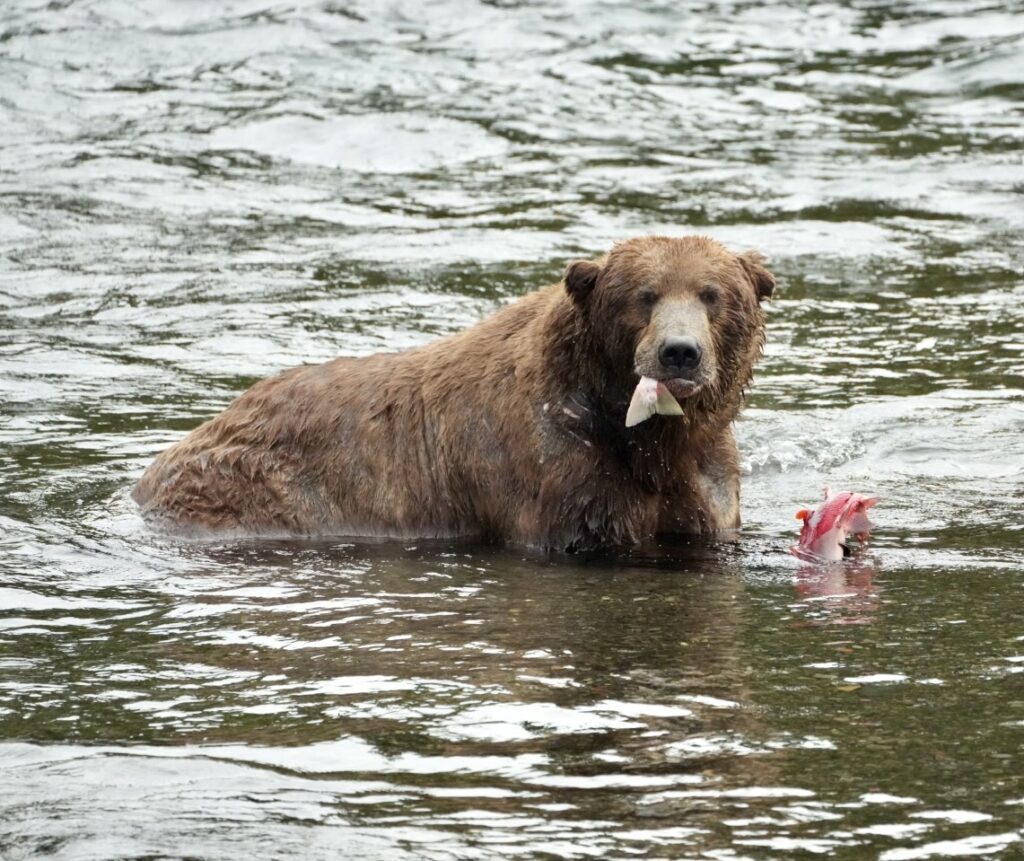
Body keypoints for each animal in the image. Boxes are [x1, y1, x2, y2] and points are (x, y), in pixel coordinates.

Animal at [136, 231, 774, 548]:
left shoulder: (704, 473)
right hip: (259, 487)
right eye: (644, 295)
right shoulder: (552, 463)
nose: (679, 351)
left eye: (713, 294)